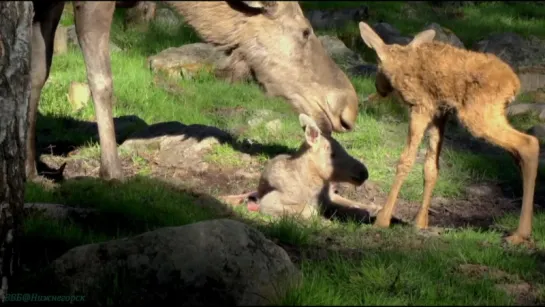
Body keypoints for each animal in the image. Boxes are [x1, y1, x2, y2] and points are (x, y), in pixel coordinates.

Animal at [356, 21, 540, 245]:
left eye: (376, 64)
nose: (379, 89)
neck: (399, 64)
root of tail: (514, 85)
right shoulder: (439, 113)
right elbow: (431, 167)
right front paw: (420, 222)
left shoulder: (420, 107)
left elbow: (406, 161)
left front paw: (382, 219)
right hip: (491, 114)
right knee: (520, 151)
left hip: (479, 116)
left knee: (529, 143)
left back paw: (520, 233)